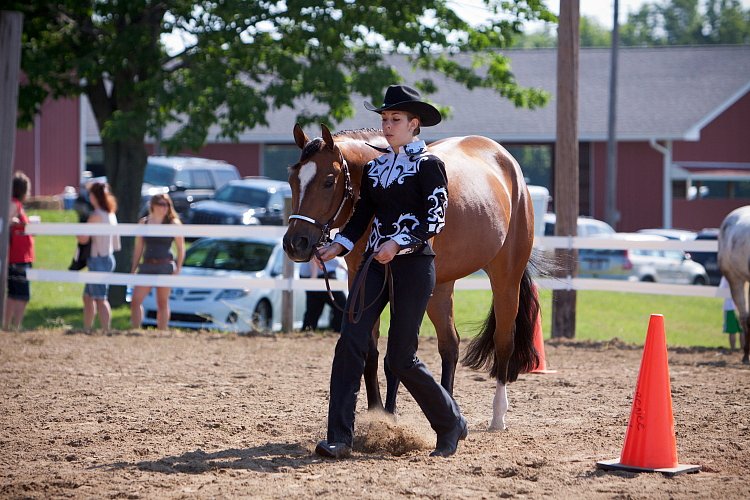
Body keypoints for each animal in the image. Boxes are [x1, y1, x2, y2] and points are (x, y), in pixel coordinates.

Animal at [284, 125, 540, 430]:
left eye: (328, 181)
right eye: (292, 179)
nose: (295, 244)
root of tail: (506, 160)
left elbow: (394, 357)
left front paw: (390, 416)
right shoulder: (362, 283)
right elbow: (371, 352)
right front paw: (377, 412)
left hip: (505, 279)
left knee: (503, 341)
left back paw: (498, 416)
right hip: (440, 287)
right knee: (450, 345)